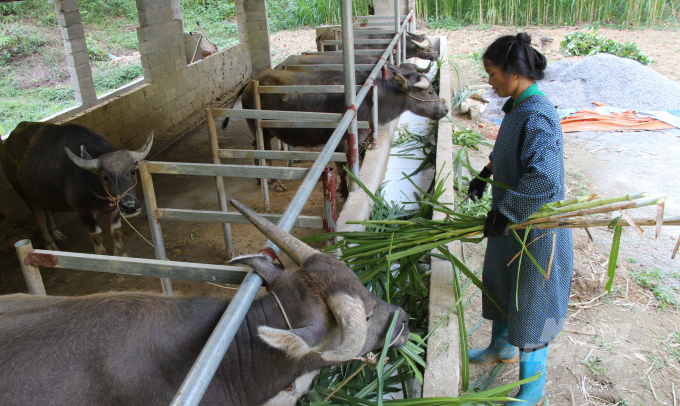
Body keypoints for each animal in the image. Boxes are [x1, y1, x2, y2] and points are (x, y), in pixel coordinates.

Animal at [0, 122, 153, 255]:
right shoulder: (83, 211)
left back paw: (56, 233)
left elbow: (116, 232)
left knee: (46, 210)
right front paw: (102, 256)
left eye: (132, 171)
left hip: (40, 192)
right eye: (104, 177)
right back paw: (50, 243)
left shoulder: (115, 207)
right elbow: (96, 236)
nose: (129, 206)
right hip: (24, 194)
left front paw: (121, 254)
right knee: (39, 218)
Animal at [222, 65, 446, 195]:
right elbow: (341, 167)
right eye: (429, 91)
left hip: (262, 130)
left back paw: (259, 179)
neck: (373, 99)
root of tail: (249, 84)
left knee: (255, 147)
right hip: (260, 127)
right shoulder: (344, 141)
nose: (444, 109)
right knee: (264, 151)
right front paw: (344, 190)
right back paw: (274, 182)